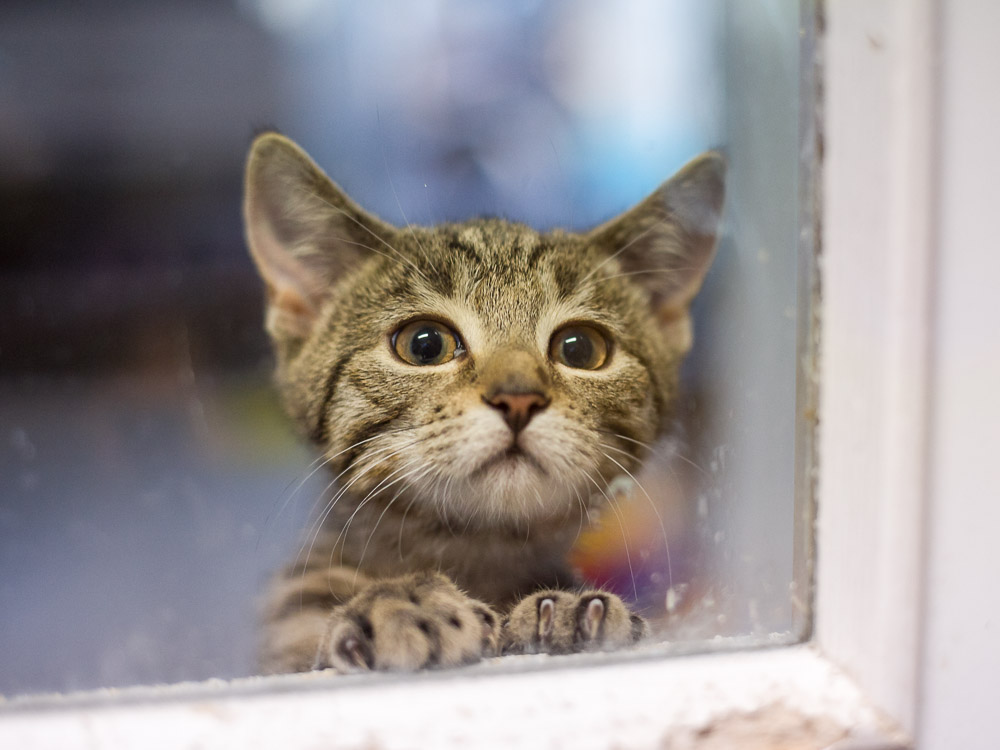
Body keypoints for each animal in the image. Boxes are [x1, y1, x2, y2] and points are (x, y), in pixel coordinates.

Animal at [244, 134, 728, 676]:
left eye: (580, 349)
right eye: (424, 344)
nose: (518, 398)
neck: (474, 557)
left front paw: (564, 610)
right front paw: (398, 601)